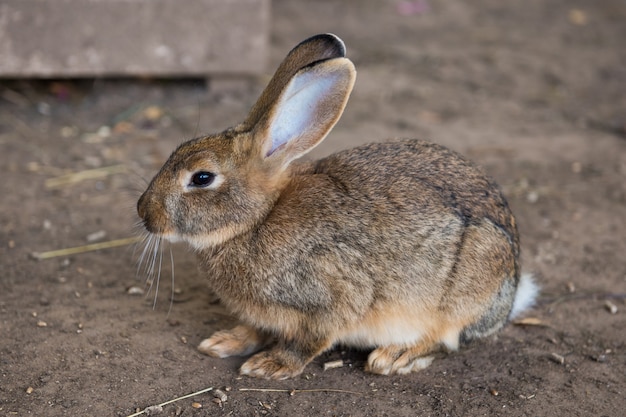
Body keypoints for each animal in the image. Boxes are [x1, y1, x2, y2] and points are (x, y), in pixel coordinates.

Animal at [136, 34, 536, 378]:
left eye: (201, 178)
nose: (144, 212)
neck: (257, 219)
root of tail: (513, 286)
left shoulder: (331, 297)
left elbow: (310, 340)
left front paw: (270, 365)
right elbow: (255, 328)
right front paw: (224, 342)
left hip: (462, 289)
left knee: (447, 340)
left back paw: (393, 356)